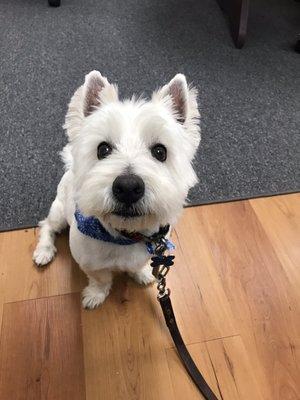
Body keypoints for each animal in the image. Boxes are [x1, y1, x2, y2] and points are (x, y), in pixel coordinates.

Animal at [32, 71, 200, 310]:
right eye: (103, 149)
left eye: (160, 152)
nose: (128, 187)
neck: (125, 236)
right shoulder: (88, 262)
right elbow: (100, 279)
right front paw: (95, 296)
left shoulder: (145, 254)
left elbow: (138, 266)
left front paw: (143, 275)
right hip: (59, 210)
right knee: (47, 226)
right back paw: (44, 252)